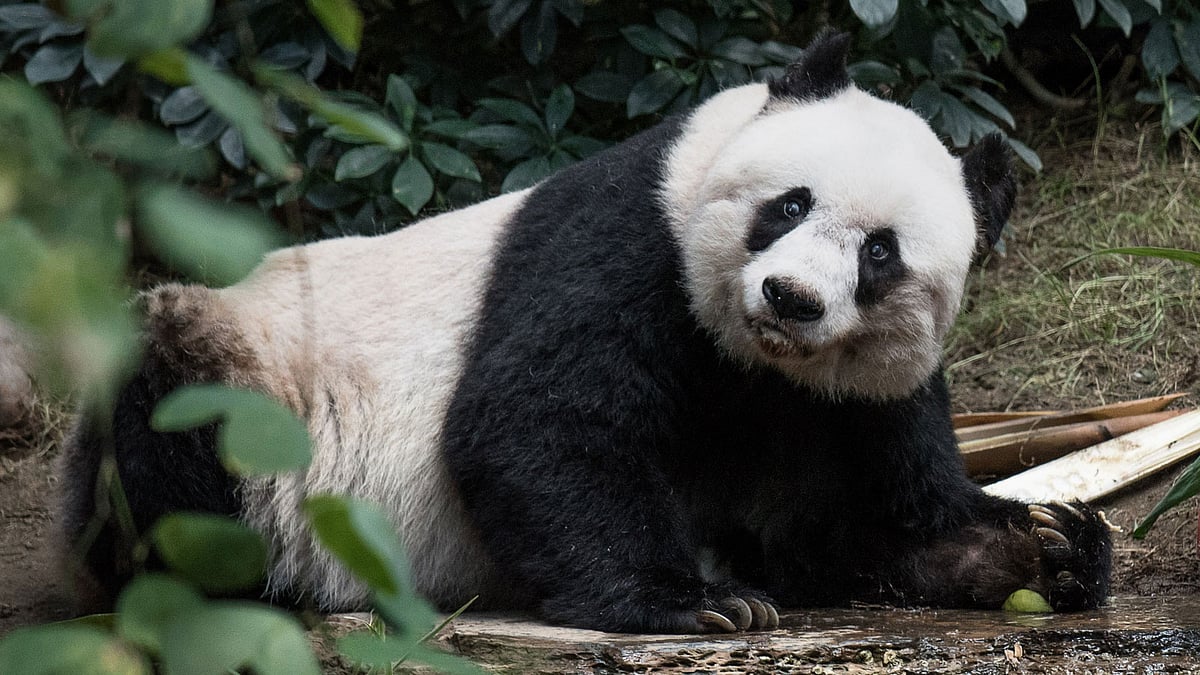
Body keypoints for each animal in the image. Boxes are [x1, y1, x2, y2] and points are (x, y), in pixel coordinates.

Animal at [61, 31, 1112, 634]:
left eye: (881, 254)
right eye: (789, 204)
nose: (791, 298)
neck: (755, 361)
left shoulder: (850, 392)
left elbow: (860, 515)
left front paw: (1047, 545)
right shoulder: (627, 244)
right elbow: (538, 420)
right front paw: (699, 600)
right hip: (249, 374)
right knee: (173, 420)